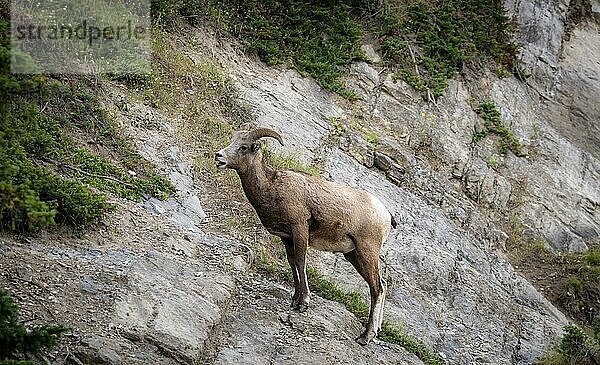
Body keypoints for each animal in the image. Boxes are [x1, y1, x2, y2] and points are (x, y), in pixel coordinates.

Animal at [214, 125, 394, 344]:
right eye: (233, 142)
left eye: (244, 147)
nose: (219, 156)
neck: (271, 187)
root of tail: (386, 215)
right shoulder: (286, 237)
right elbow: (292, 263)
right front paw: (294, 300)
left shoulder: (299, 228)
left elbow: (301, 261)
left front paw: (303, 303)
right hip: (353, 254)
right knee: (381, 285)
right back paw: (375, 331)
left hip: (367, 251)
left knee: (377, 288)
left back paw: (365, 337)